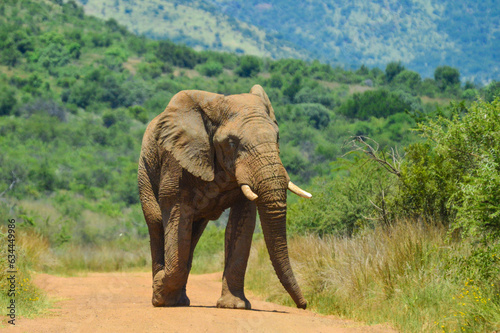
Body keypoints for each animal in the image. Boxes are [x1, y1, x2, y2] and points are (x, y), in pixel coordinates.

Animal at [139, 83, 310, 308]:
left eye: (278, 138)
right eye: (231, 142)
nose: (304, 304)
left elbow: (242, 224)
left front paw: (234, 305)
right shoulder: (176, 161)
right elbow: (176, 218)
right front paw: (160, 292)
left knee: (193, 233)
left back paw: (180, 300)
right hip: (145, 171)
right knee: (157, 223)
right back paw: (164, 297)